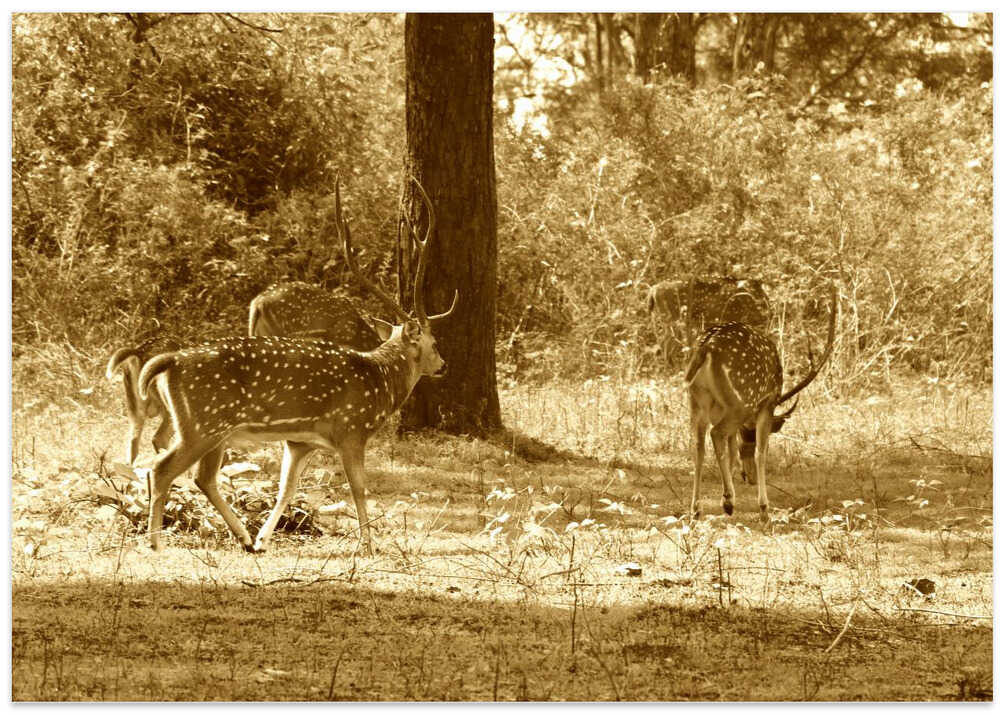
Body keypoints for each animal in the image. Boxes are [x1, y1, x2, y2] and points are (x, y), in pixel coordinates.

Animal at [136, 176, 457, 554]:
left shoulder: (300, 440)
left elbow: (286, 488)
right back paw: (156, 542)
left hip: (212, 429)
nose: (444, 365)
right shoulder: (351, 429)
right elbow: (359, 488)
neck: (380, 383)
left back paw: (245, 538)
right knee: (161, 469)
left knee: (202, 477)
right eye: (434, 344)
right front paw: (367, 545)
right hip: (203, 424)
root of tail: (168, 361)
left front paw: (264, 538)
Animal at [685, 284, 837, 522]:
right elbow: (761, 452)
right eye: (748, 439)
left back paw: (696, 509)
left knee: (697, 446)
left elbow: (731, 449)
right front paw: (764, 509)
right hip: (742, 400)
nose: (750, 478)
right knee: (716, 433)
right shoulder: (768, 402)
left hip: (697, 401)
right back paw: (729, 501)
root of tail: (705, 349)